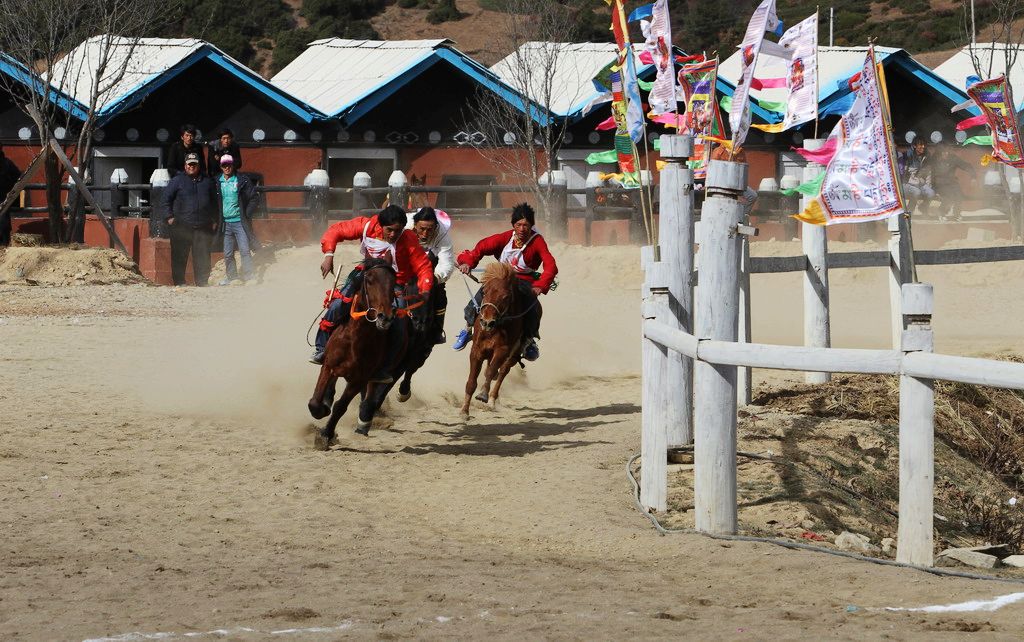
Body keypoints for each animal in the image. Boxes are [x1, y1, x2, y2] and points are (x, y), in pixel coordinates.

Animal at [307, 259, 407, 450]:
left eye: (393, 284)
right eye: (369, 280)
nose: (385, 317)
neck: (355, 337)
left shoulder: (359, 378)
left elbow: (341, 406)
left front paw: (326, 434)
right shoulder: (328, 366)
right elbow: (315, 402)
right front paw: (323, 409)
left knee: (369, 396)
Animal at [460, 261, 540, 417]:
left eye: (506, 297)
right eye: (484, 292)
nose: (486, 322)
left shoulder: (502, 350)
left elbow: (491, 372)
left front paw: (483, 395)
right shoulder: (477, 350)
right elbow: (472, 381)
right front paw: (464, 411)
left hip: (513, 356)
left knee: (502, 372)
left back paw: (492, 400)